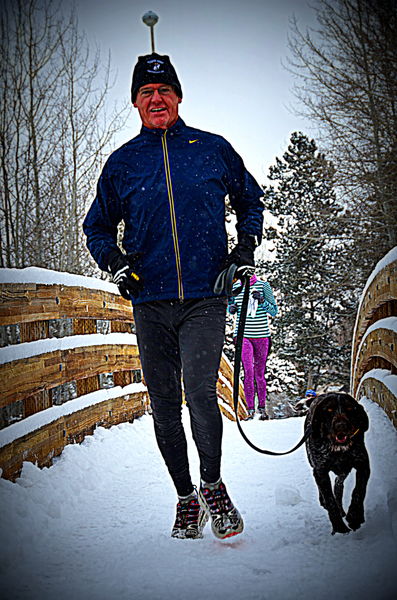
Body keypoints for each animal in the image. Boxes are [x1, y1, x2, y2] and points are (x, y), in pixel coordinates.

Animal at [304, 394, 370, 536]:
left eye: (350, 408)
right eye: (329, 410)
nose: (341, 426)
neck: (338, 451)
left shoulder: (363, 465)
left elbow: (359, 491)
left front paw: (355, 516)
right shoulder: (320, 471)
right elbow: (330, 500)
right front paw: (339, 527)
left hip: (343, 472)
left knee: (338, 486)